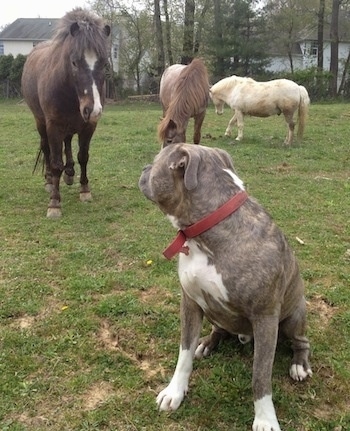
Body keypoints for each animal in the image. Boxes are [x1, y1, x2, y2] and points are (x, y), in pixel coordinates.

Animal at [22, 9, 109, 219]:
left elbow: (83, 156)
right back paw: (48, 181)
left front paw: (85, 190)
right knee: (46, 148)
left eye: (104, 64)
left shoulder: (88, 125)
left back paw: (69, 173)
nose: (93, 109)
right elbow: (55, 163)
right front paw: (54, 203)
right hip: (41, 122)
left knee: (68, 142)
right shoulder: (53, 125)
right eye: (74, 62)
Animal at [139, 145, 312, 431]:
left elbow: (260, 376)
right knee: (218, 329)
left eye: (155, 162)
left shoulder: (265, 318)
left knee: (301, 342)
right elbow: (184, 355)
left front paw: (265, 418)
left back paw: (299, 365)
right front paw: (175, 391)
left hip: (293, 315)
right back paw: (208, 343)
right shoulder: (190, 302)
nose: (143, 168)